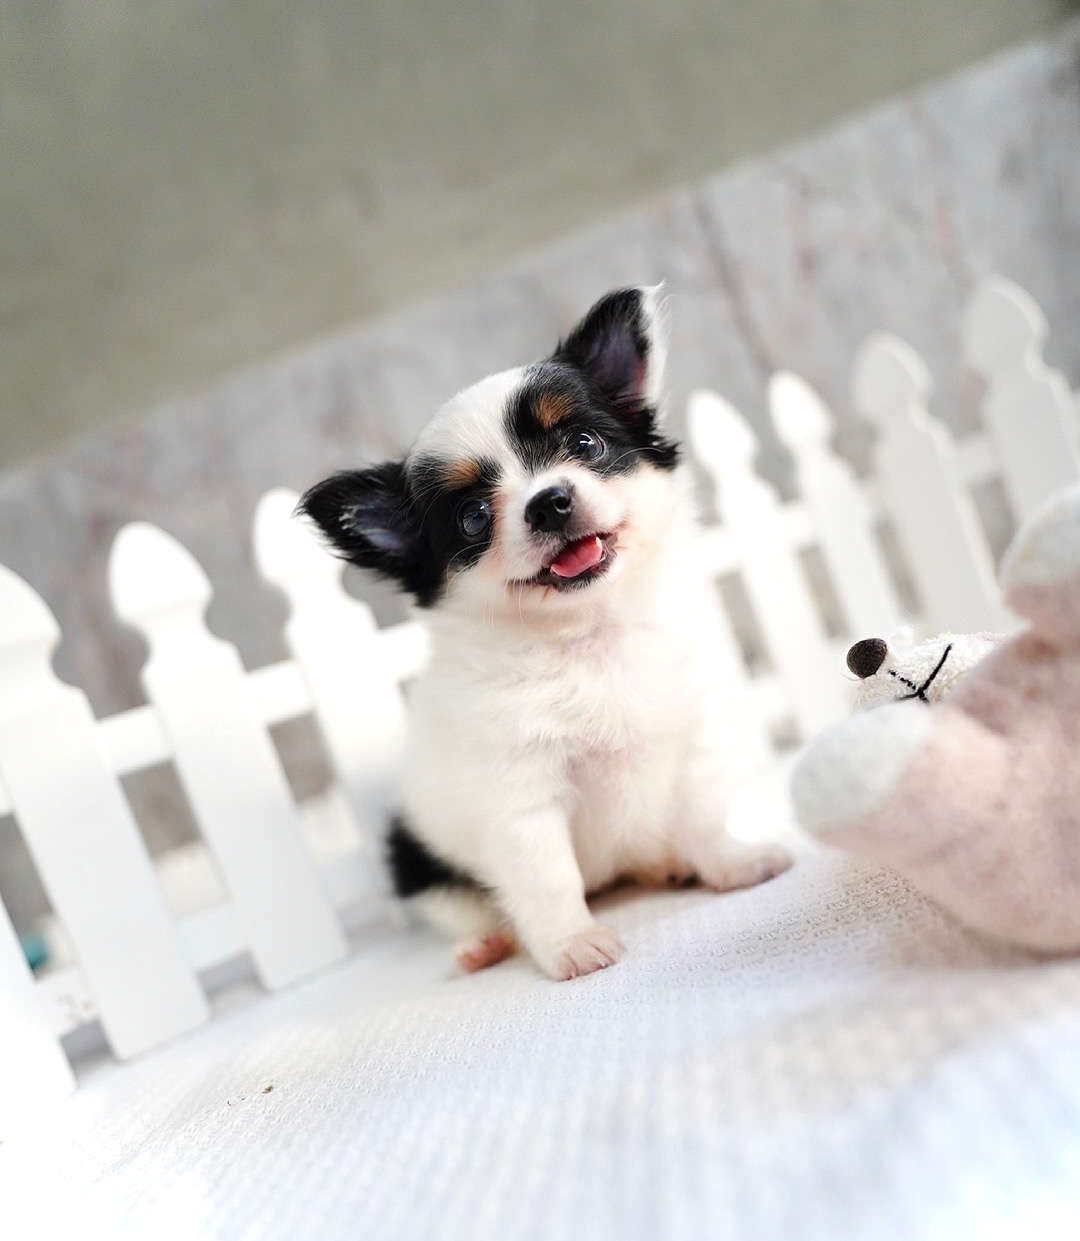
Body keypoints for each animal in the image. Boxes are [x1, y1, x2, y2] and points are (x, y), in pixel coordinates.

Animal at [300, 287, 793, 980]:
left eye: (585, 443)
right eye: (474, 517)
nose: (549, 501)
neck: (589, 635)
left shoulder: (692, 728)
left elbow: (700, 811)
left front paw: (728, 863)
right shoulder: (518, 796)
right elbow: (546, 877)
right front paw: (571, 944)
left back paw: (669, 864)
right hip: (417, 856)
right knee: (469, 907)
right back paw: (484, 945)